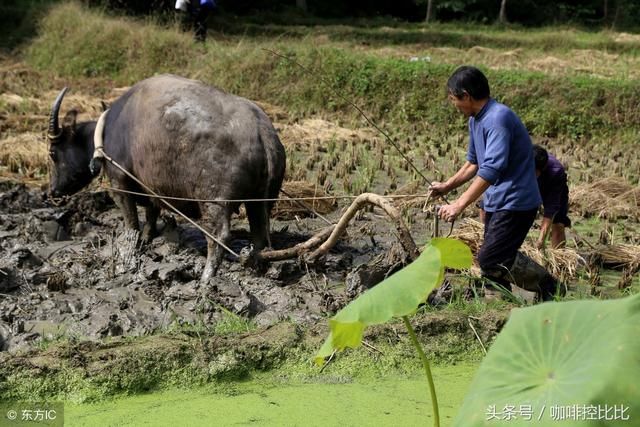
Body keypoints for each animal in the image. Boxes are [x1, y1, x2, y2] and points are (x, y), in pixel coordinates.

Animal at [49, 75, 288, 282]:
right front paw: (146, 239)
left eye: (52, 152)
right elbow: (151, 214)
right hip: (261, 200)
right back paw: (255, 265)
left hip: (214, 202)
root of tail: (261, 130)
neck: (107, 131)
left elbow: (132, 223)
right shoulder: (150, 187)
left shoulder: (120, 184)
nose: (52, 191)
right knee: (259, 232)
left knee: (219, 237)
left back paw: (206, 278)